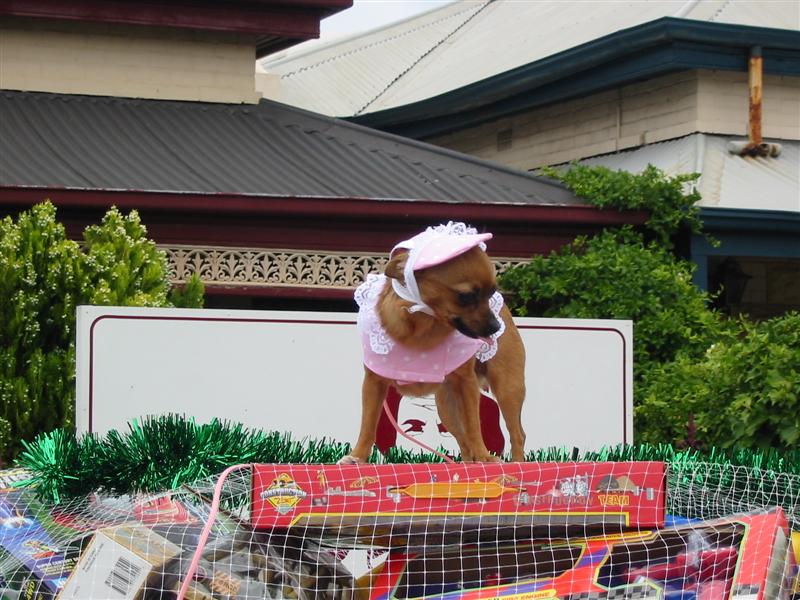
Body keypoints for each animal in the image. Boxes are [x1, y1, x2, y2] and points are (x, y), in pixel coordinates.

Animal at [339, 222, 526, 464]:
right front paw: (358, 457)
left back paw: (516, 462)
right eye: (466, 296)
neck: (423, 325)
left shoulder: (467, 384)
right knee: (464, 442)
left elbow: (474, 426)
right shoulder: (374, 383)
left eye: (491, 292)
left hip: (507, 387)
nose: (496, 326)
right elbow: (368, 424)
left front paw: (484, 456)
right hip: (447, 407)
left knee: (516, 433)